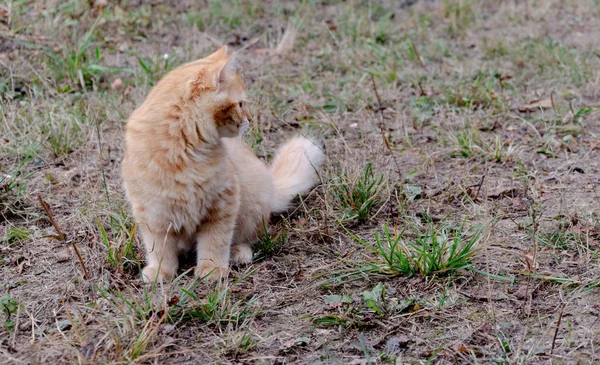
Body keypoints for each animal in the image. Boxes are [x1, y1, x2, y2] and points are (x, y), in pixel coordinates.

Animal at [122, 45, 326, 282]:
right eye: (240, 104)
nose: (250, 119)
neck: (183, 150)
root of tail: (272, 187)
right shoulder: (153, 214)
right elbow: (159, 249)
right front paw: (160, 272)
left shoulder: (222, 205)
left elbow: (215, 242)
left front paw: (211, 269)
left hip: (252, 206)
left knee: (249, 238)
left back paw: (238, 253)